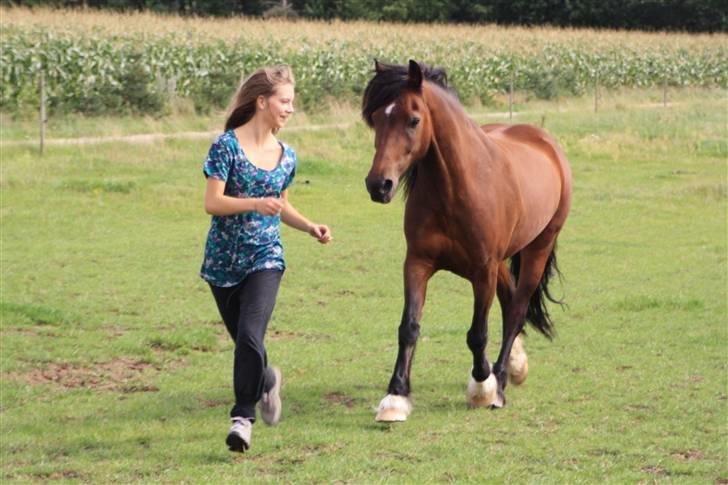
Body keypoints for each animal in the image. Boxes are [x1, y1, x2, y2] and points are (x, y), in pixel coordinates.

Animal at [362, 60, 572, 422]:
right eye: (376, 118)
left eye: (414, 119)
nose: (379, 185)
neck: (455, 187)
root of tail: (545, 141)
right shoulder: (417, 263)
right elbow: (409, 327)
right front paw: (395, 397)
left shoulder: (482, 269)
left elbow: (477, 333)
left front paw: (482, 387)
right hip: (501, 261)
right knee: (510, 299)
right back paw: (514, 365)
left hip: (537, 249)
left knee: (516, 310)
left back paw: (499, 380)